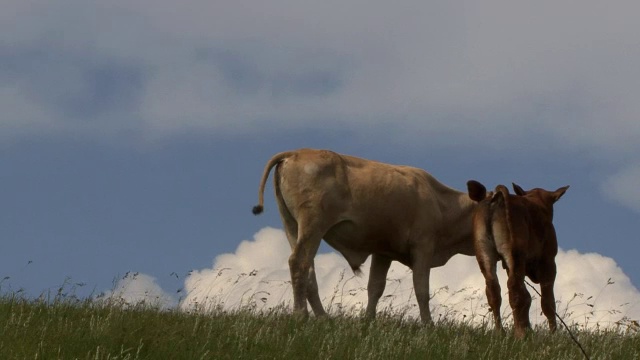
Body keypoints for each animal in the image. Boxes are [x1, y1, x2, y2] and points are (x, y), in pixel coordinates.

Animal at [250, 148, 484, 322]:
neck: (440, 203)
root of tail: (296, 152)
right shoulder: (423, 246)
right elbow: (422, 289)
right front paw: (428, 325)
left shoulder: (383, 252)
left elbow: (376, 287)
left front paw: (368, 320)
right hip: (313, 224)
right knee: (299, 262)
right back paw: (301, 316)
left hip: (292, 226)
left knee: (309, 270)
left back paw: (323, 317)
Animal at [464, 180, 568, 338]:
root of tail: (497, 198)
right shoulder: (549, 261)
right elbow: (548, 302)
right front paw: (553, 334)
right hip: (516, 253)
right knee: (516, 290)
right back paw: (521, 334)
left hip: (484, 252)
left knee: (494, 289)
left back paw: (501, 332)